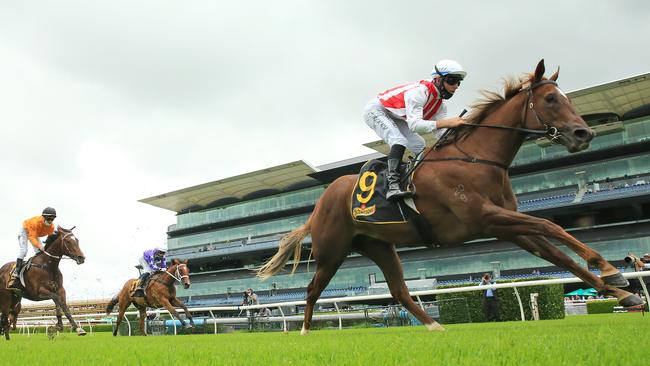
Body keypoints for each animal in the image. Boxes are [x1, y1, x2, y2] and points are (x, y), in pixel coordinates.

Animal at [258, 59, 644, 334]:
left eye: (565, 98)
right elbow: (553, 227)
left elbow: (558, 254)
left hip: (379, 246)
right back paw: (305, 331)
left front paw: (625, 292)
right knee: (312, 289)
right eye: (550, 99)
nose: (584, 133)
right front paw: (612, 269)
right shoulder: (486, 217)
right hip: (332, 250)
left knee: (398, 290)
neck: (477, 157)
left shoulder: (507, 226)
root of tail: (321, 201)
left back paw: (434, 325)